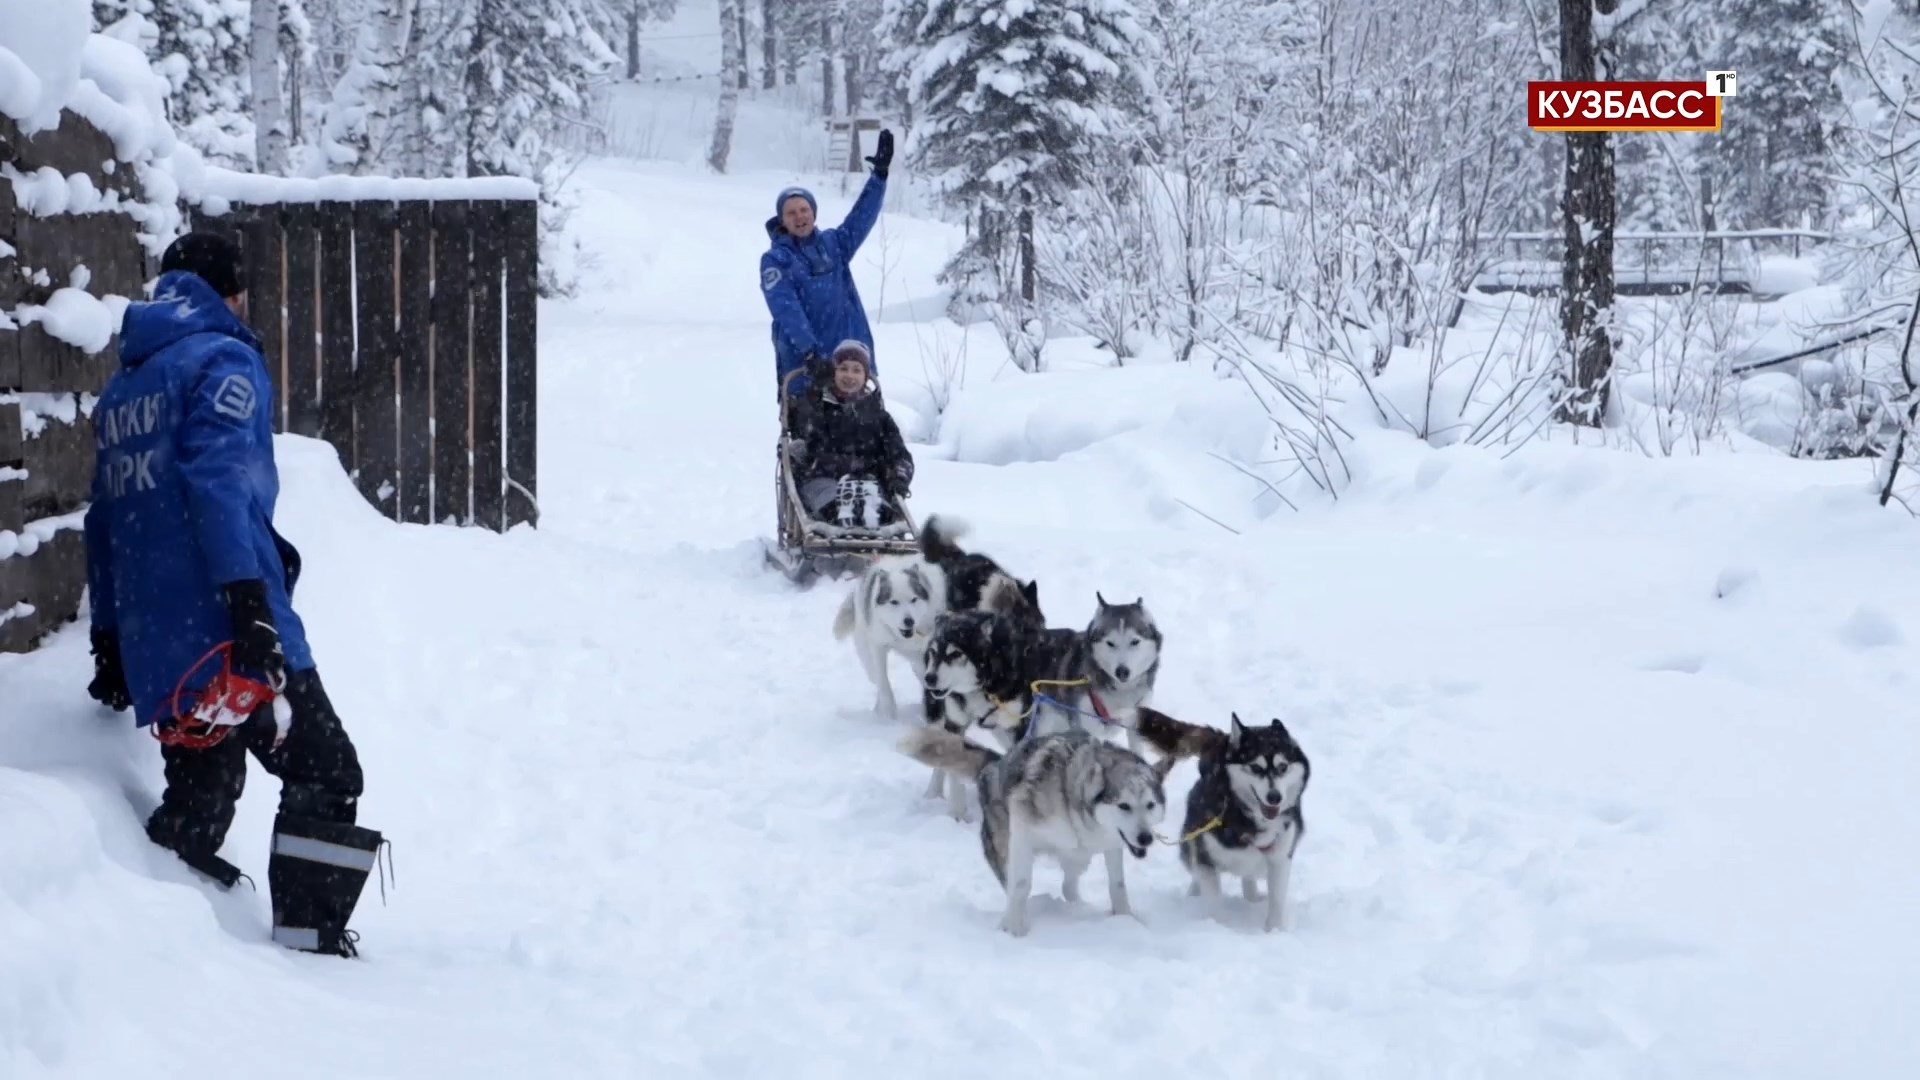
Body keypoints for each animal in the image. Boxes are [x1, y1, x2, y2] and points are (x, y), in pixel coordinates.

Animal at [829, 553, 948, 714]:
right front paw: (888, 712)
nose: (909, 621)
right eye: (894, 602)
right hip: (866, 653)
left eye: (913, 599)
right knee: (875, 677)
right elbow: (883, 682)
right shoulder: (878, 647)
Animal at [894, 722, 1167, 933]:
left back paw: (1078, 906)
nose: (1145, 838)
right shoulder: (1023, 833)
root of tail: (995, 764)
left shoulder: (1110, 844)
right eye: (1124, 805)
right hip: (1003, 843)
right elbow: (1021, 884)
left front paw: (1127, 920)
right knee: (1014, 880)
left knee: (1069, 883)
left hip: (1078, 856)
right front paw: (1013, 928)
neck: (1071, 801)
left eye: (1150, 805)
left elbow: (1117, 886)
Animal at [1128, 707, 1313, 926]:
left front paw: (1274, 930)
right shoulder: (1204, 856)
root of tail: (1222, 741)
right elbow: (1214, 901)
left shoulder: (1280, 859)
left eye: (1283, 767)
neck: (1247, 818)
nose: (1274, 797)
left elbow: (1276, 899)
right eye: (1256, 768)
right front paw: (1219, 927)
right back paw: (1194, 896)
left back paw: (1252, 897)